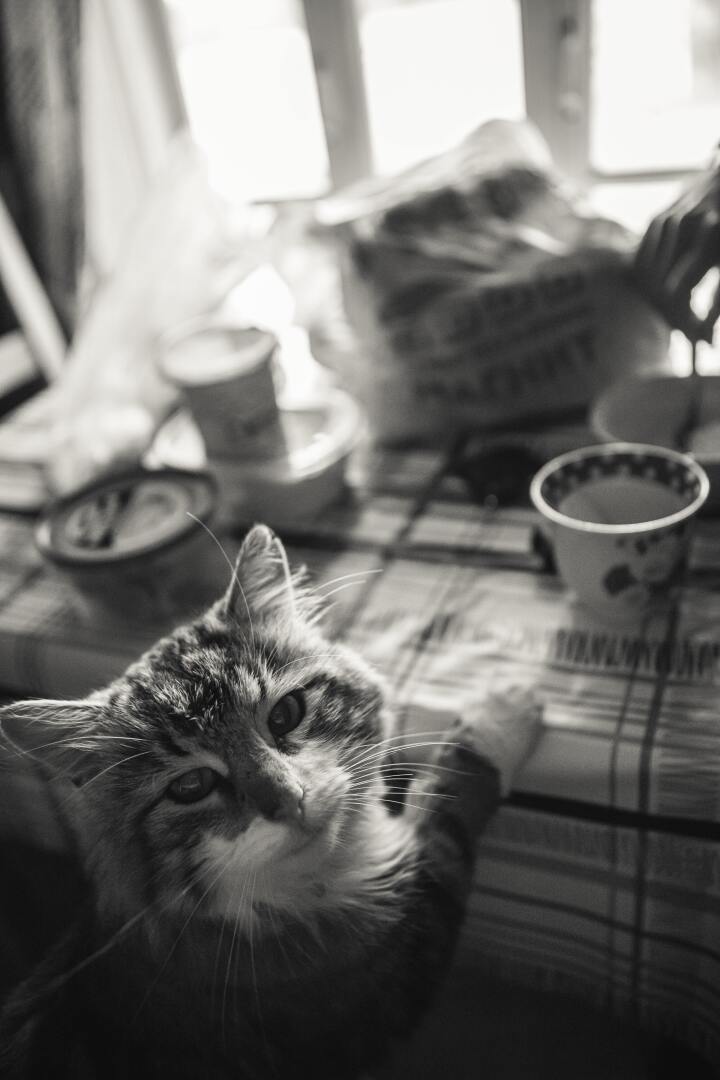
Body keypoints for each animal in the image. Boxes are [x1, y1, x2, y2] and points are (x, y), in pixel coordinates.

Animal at [0, 524, 541, 1079]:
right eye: (191, 786)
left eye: (285, 714)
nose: (288, 800)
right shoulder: (413, 938)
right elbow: (454, 792)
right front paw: (506, 706)